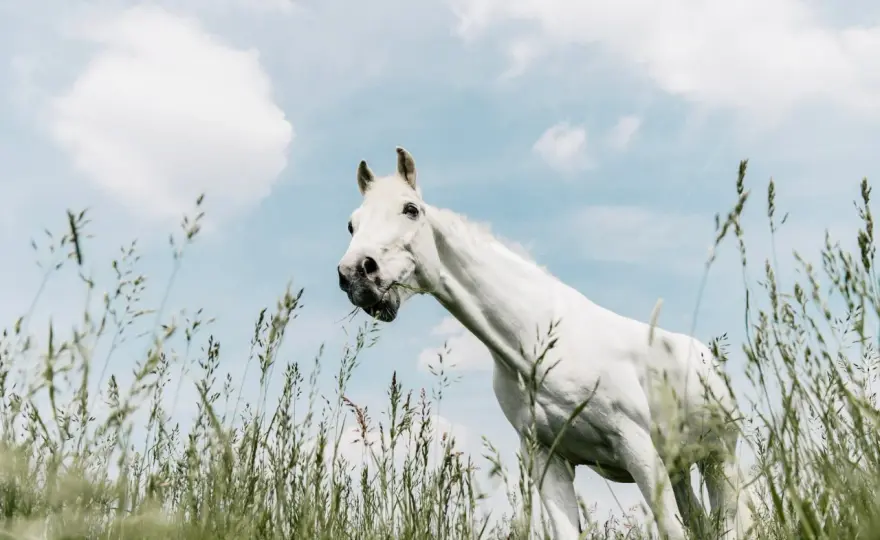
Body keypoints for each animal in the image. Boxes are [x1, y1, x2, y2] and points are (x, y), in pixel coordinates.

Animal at [335, 146, 754, 539]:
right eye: (352, 224)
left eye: (411, 210)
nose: (356, 274)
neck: (539, 343)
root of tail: (706, 357)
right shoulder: (548, 461)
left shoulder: (639, 451)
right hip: (680, 468)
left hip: (719, 460)